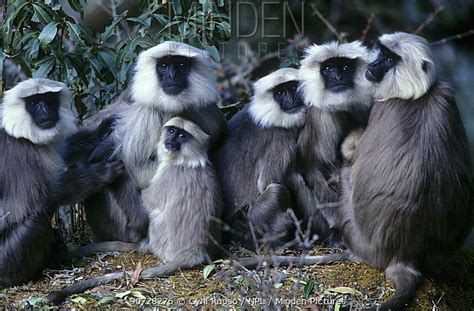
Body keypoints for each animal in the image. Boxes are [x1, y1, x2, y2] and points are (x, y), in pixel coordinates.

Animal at [0, 79, 124, 288]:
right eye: (33, 103)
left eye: (49, 99)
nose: (45, 111)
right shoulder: (19, 153)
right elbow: (42, 199)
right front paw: (103, 172)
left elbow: (64, 149)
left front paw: (103, 129)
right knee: (36, 220)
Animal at [49, 117, 223, 304]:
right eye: (172, 131)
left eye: (182, 135)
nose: (171, 140)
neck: (188, 160)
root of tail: (195, 252)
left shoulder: (166, 174)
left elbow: (143, 213)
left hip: (158, 242)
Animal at [215, 68, 308, 251]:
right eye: (279, 93)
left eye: (293, 88)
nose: (290, 100)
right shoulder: (280, 138)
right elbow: (266, 183)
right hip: (253, 221)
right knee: (275, 191)